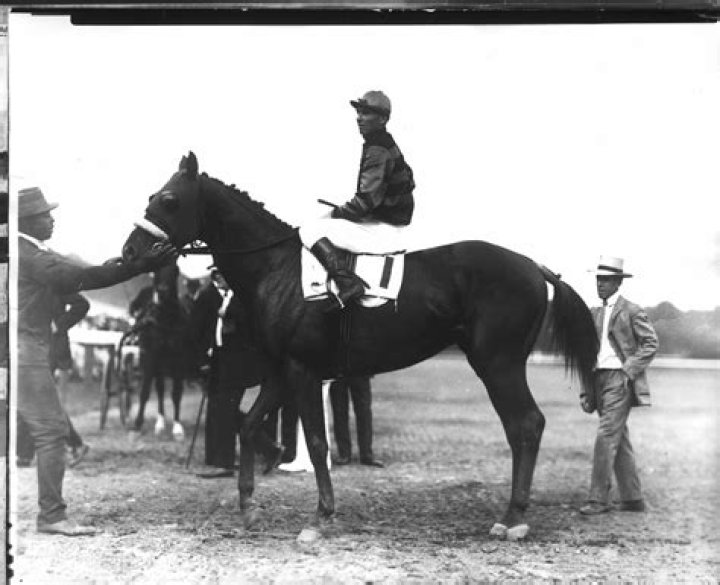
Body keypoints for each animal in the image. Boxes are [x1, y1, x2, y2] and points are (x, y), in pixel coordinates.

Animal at [127, 261, 190, 439]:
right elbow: (145, 392)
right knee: (159, 389)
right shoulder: (151, 356)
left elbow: (176, 393)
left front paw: (177, 427)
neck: (165, 320)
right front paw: (137, 425)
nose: (162, 292)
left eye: (175, 270)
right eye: (155, 268)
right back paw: (159, 423)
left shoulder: (179, 358)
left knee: (163, 389)